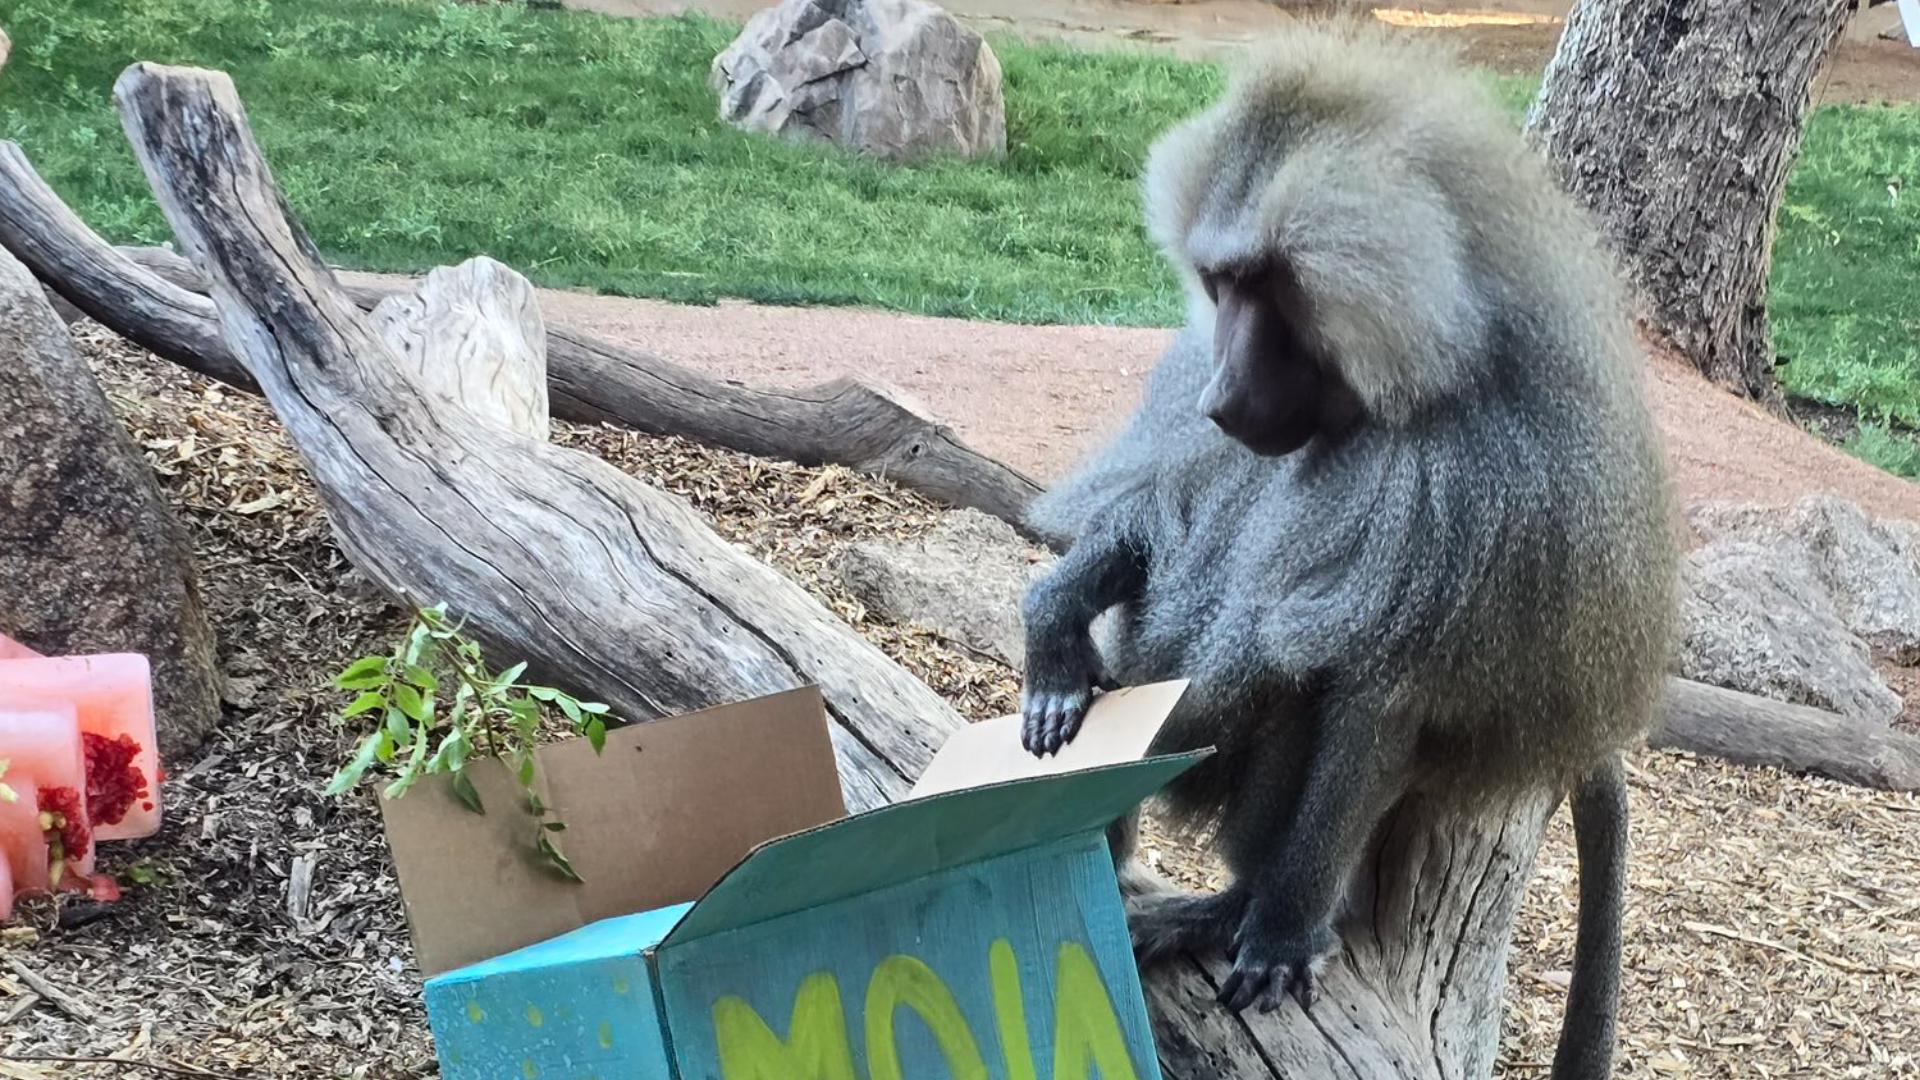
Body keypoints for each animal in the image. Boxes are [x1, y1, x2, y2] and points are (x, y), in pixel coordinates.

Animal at [1016, 21, 1677, 1080]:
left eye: (1266, 286)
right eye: (1218, 284)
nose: (1219, 398)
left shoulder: (1464, 497)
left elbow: (1376, 691)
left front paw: (1282, 932)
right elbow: (1156, 514)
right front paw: (1051, 633)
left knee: (1297, 688)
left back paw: (1230, 908)